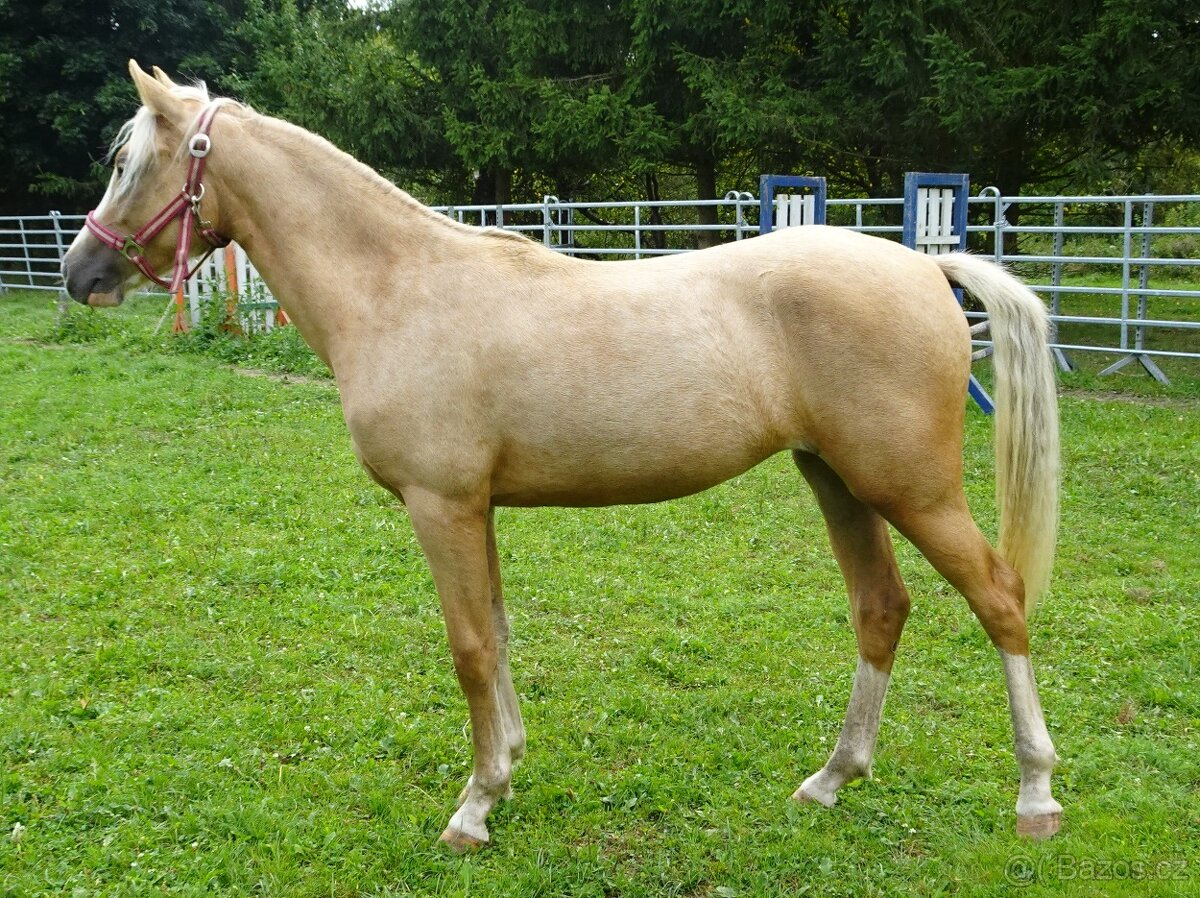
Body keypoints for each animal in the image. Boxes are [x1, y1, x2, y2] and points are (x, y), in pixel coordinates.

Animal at [63, 61, 1063, 850]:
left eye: (126, 162)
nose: (80, 274)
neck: (400, 288)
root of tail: (923, 265)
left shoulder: (441, 505)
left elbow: (470, 647)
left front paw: (472, 808)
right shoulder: (475, 508)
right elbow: (500, 636)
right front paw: (503, 773)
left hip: (911, 488)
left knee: (1000, 599)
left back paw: (1035, 796)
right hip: (840, 480)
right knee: (881, 609)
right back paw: (831, 778)